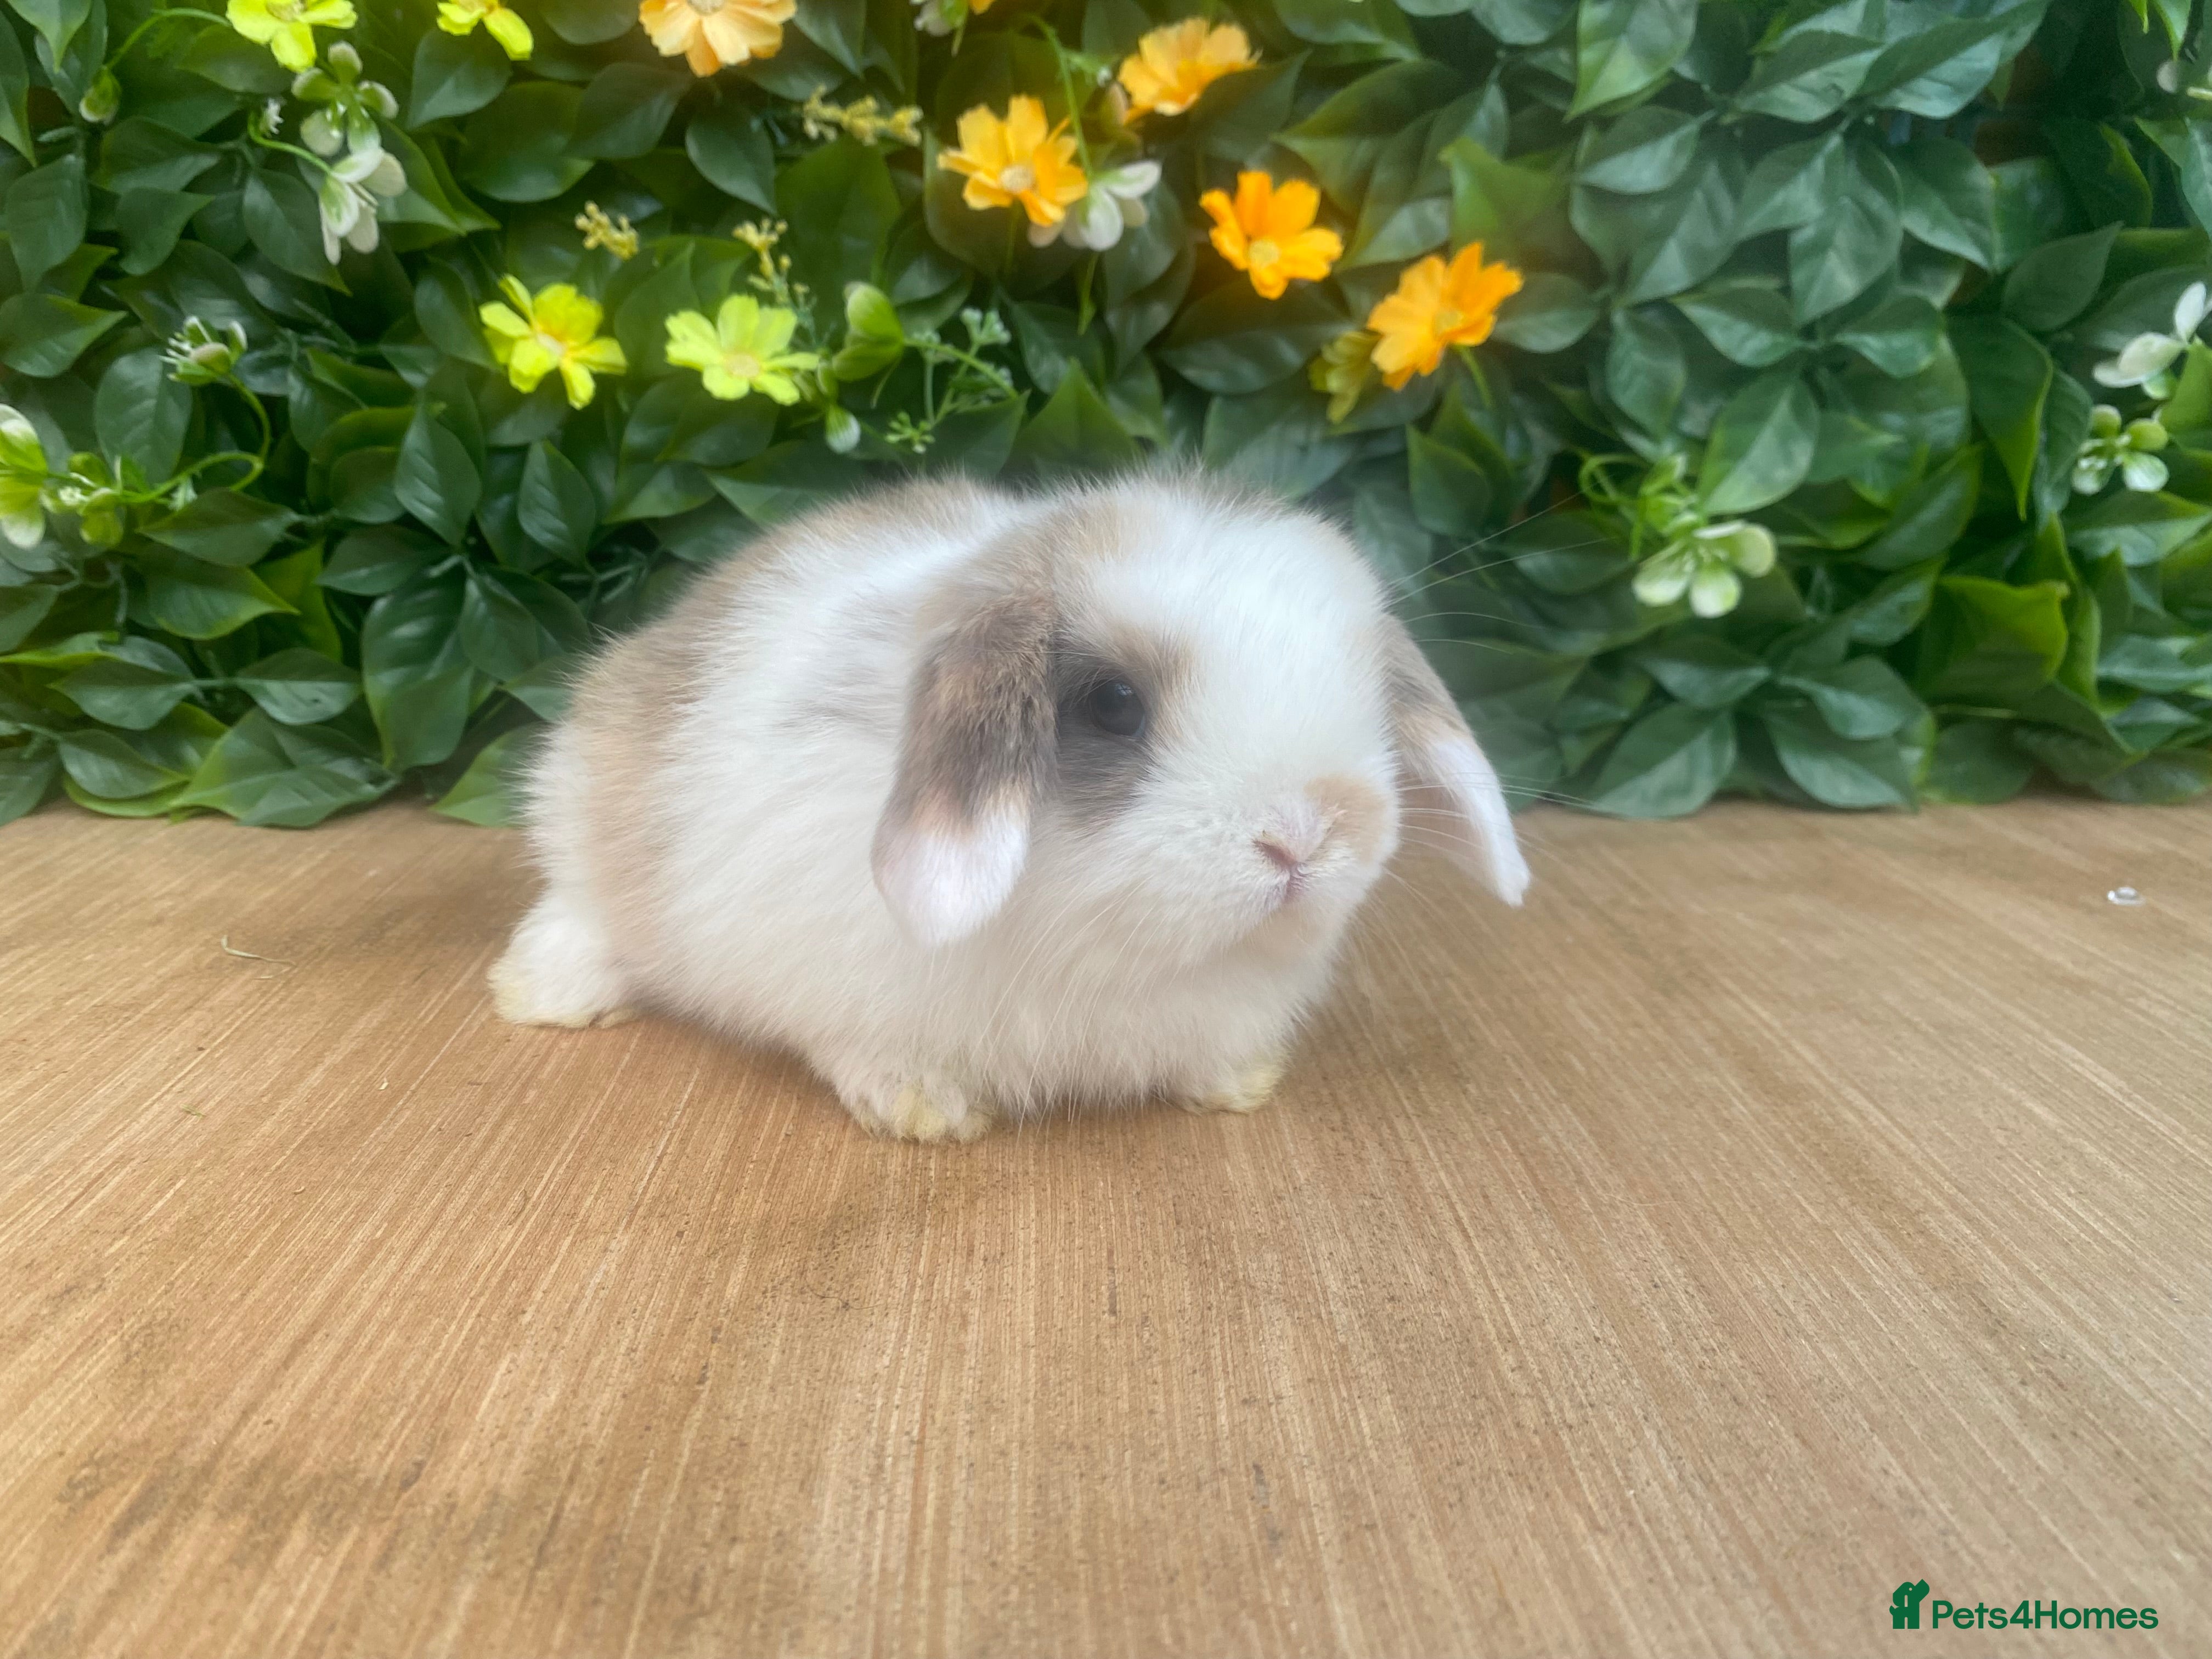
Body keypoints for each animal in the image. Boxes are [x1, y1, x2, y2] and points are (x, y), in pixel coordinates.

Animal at [489, 470, 1529, 1142]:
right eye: (1113, 703)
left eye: (1368, 695)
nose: (1306, 834)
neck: (1105, 947)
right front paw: (926, 1108)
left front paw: (1237, 1083)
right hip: (576, 803)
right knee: (578, 907)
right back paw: (545, 995)